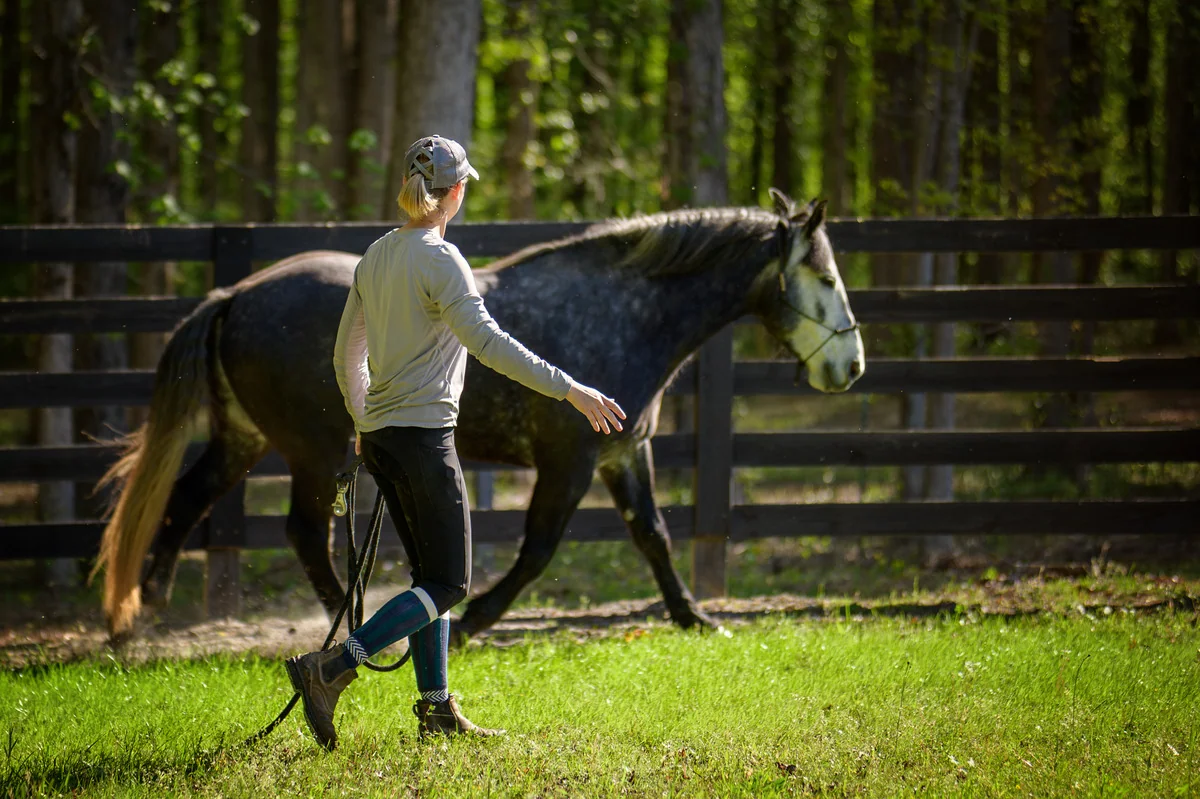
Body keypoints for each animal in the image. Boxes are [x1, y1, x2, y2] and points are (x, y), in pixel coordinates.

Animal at [94, 190, 865, 638]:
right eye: (826, 277)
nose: (850, 367)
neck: (621, 316)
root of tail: (235, 293)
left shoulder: (624, 453)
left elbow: (654, 536)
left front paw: (695, 617)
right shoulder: (569, 459)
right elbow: (539, 549)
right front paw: (472, 620)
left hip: (246, 438)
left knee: (186, 499)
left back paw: (142, 613)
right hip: (315, 451)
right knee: (302, 532)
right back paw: (353, 613)